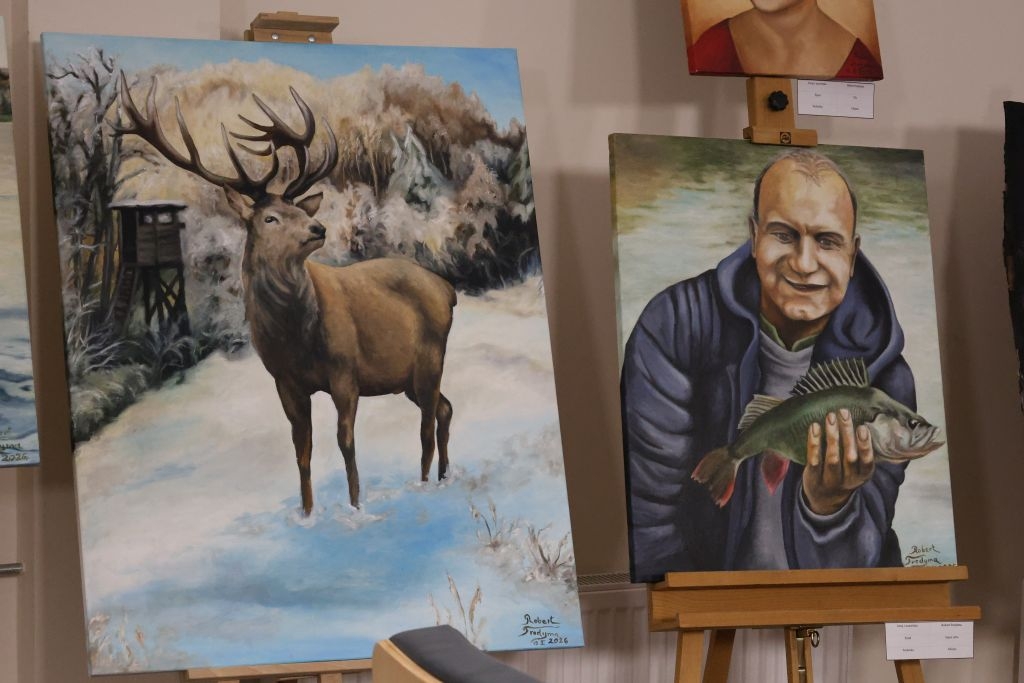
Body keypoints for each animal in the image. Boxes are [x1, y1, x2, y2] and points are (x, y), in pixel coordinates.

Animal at [114, 73, 456, 515]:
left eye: (300, 211)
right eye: (271, 218)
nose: (318, 228)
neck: (296, 337)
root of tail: (447, 289)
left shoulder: (345, 371)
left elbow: (346, 442)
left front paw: (355, 507)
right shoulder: (284, 381)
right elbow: (301, 450)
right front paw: (307, 513)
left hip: (430, 357)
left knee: (428, 423)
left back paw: (426, 483)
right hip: (406, 377)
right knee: (444, 409)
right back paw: (444, 476)